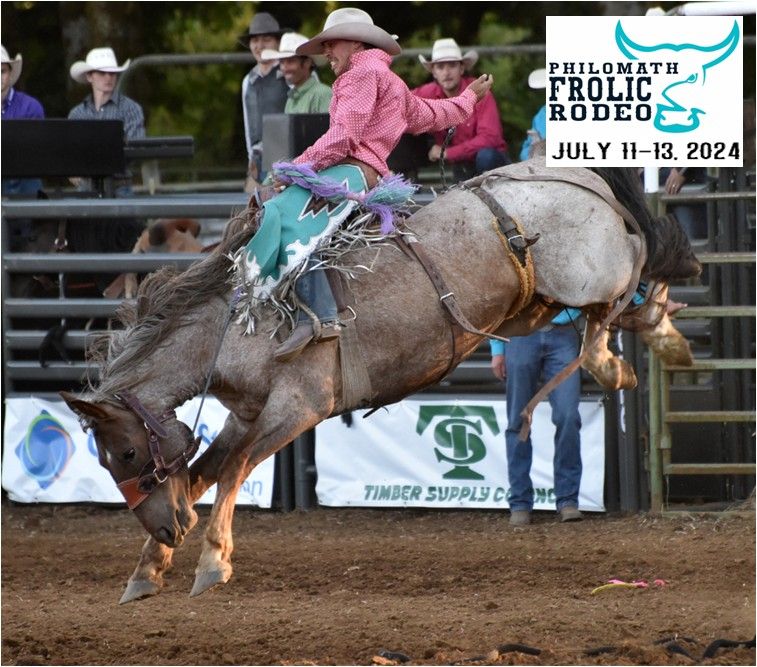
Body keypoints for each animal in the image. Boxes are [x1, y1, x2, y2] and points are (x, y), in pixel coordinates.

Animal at [62, 158, 700, 604]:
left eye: (124, 452)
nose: (168, 529)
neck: (235, 323)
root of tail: (577, 173)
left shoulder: (299, 406)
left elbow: (234, 469)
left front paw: (213, 560)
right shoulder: (245, 414)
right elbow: (201, 472)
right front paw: (148, 569)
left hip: (589, 275)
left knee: (637, 264)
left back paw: (624, 353)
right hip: (536, 303)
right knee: (634, 290)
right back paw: (662, 334)